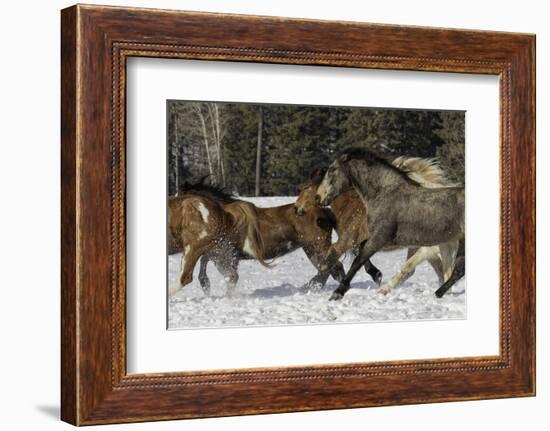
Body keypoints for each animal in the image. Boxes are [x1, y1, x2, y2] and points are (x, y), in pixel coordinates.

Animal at [167, 181, 344, 298]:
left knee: (332, 268)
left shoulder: (222, 252)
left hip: (317, 246)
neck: (226, 217)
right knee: (327, 270)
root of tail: (325, 211)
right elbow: (212, 266)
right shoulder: (221, 253)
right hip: (311, 249)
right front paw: (207, 286)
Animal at [314, 148, 466, 300]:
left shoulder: (380, 239)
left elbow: (358, 260)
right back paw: (438, 293)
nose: (318, 197)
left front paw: (337, 293)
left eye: (332, 170)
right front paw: (375, 275)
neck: (385, 195)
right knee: (457, 270)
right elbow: (360, 252)